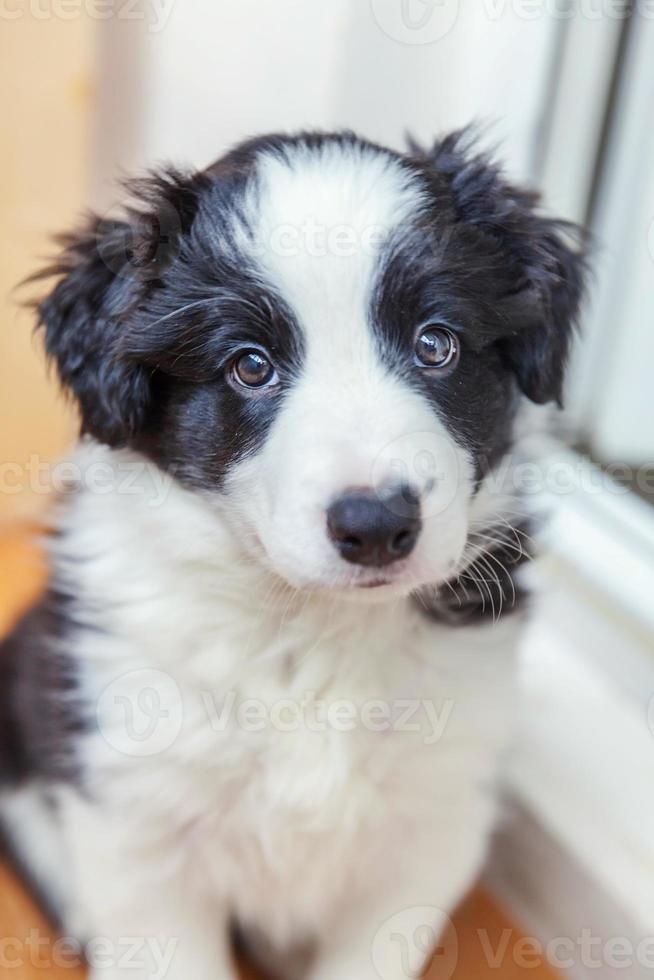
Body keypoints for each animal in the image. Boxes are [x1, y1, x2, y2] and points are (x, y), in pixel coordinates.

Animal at [0, 132, 584, 980]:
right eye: (249, 364)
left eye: (436, 345)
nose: (375, 524)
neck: (312, 632)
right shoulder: (137, 816)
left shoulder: (432, 821)